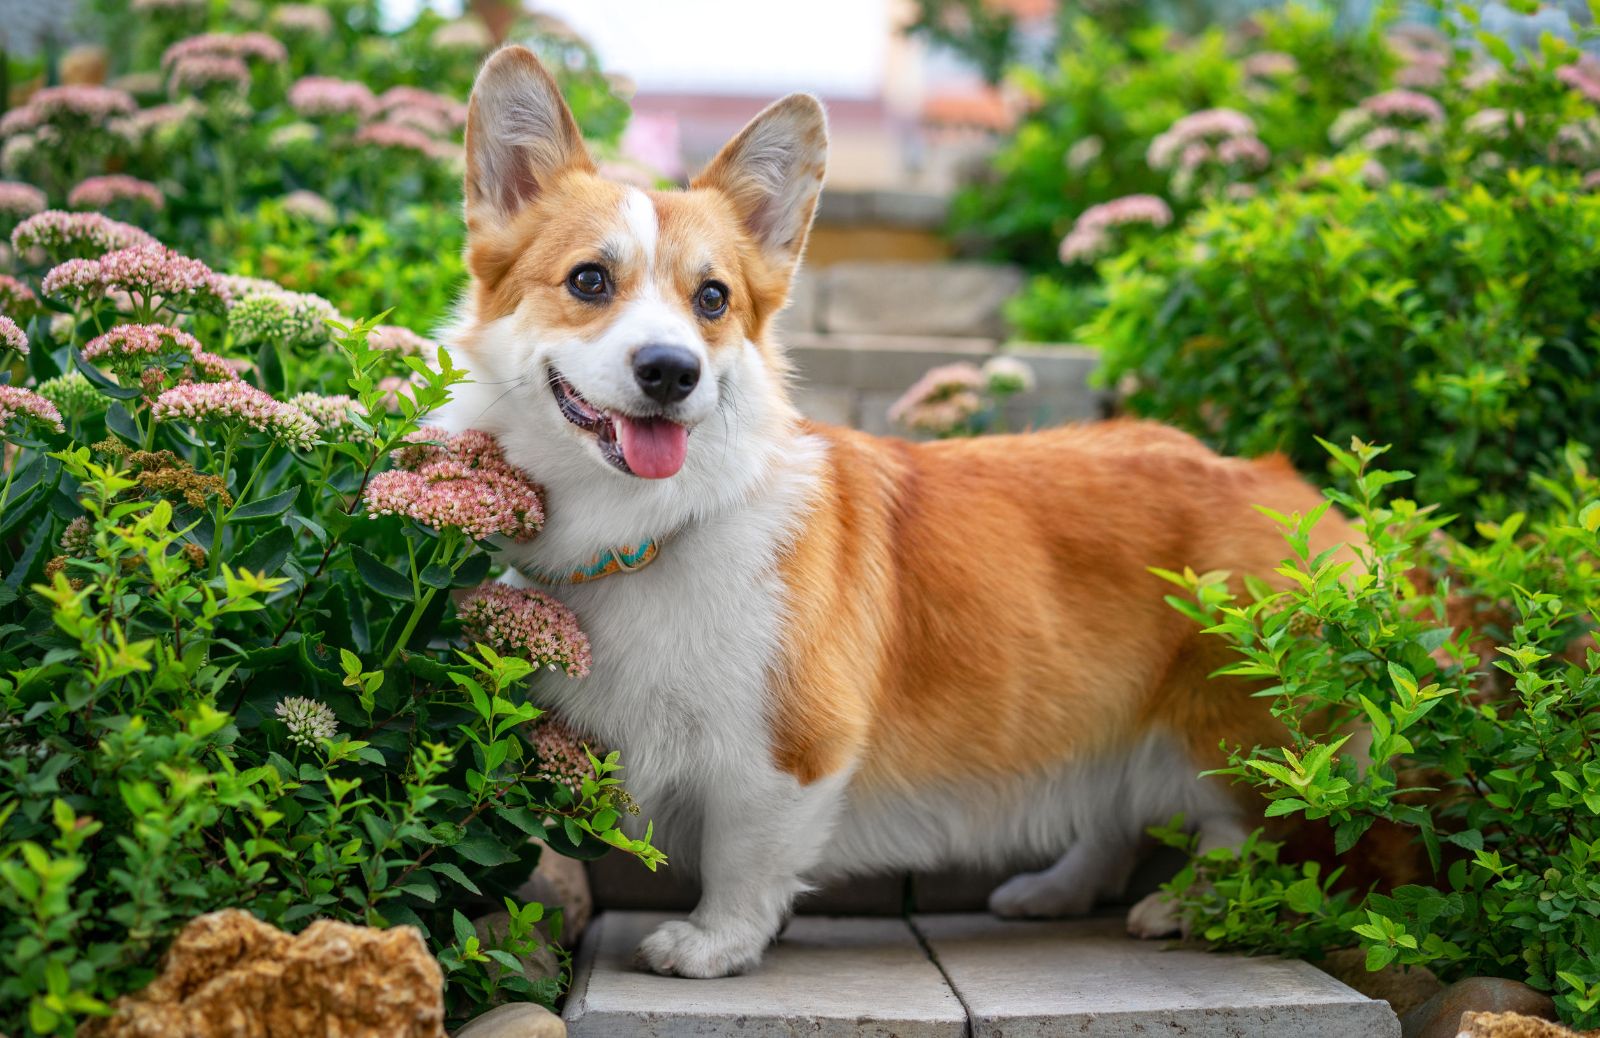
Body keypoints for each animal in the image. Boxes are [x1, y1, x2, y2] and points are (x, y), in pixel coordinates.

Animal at [438, 44, 1350, 978]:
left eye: (714, 299)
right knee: (1112, 818)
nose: (671, 371)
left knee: (1243, 834)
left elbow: (743, 857)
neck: (648, 529)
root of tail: (1291, 486)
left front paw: (713, 946)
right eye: (589, 279)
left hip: (1234, 730)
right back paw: (1054, 892)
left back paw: (1188, 906)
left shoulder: (789, 754)